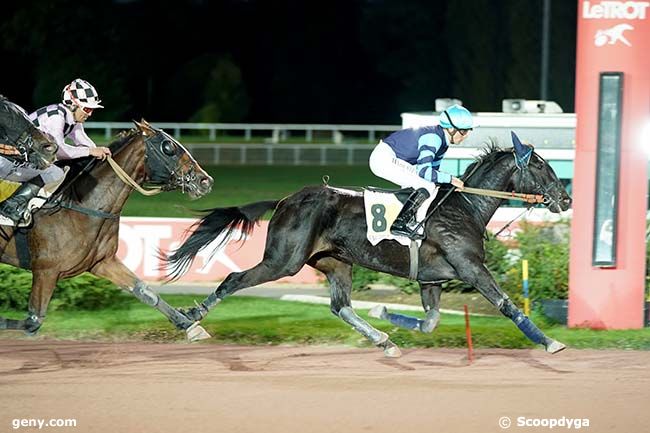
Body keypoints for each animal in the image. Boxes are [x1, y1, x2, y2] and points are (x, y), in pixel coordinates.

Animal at [0, 120, 213, 340]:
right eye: (168, 147)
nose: (205, 181)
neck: (83, 205)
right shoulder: (46, 270)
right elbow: (32, 322)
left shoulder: (102, 262)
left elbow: (144, 291)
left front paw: (190, 325)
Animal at [166, 131, 568, 354]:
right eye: (543, 167)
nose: (565, 199)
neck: (465, 207)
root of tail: (284, 200)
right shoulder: (471, 268)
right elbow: (505, 304)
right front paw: (550, 342)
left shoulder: (432, 279)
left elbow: (430, 323)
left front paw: (384, 312)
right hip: (284, 260)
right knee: (234, 279)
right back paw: (190, 319)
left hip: (335, 262)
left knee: (341, 307)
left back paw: (383, 340)